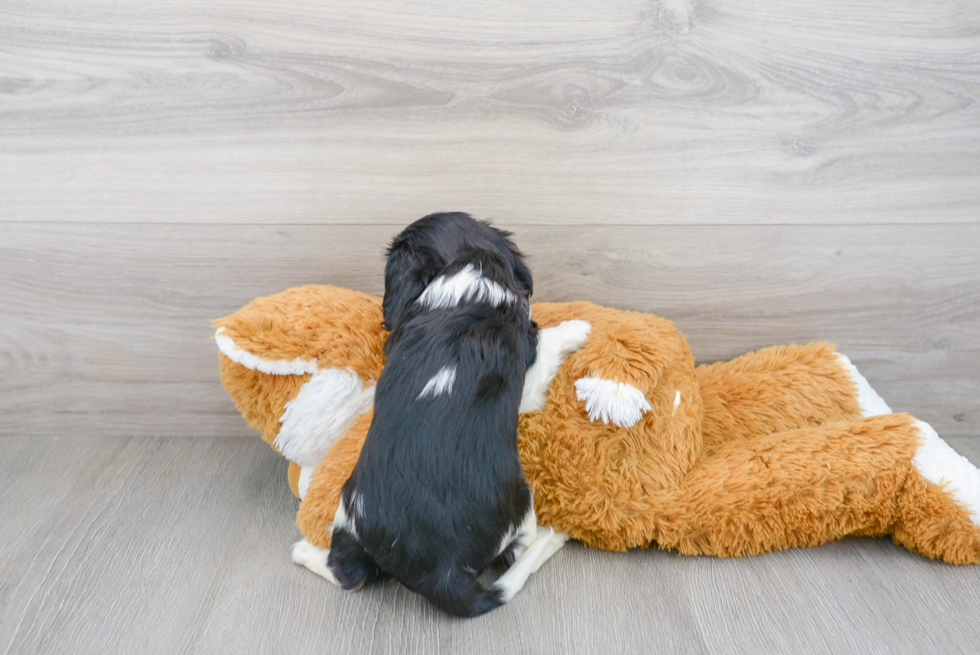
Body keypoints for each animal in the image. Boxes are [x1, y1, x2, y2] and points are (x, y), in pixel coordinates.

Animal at [322, 247, 568, 620]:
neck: (467, 283)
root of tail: (442, 573)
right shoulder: (525, 377)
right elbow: (548, 343)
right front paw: (577, 328)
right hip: (519, 501)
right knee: (519, 551)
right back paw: (550, 540)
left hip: (347, 513)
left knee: (343, 571)